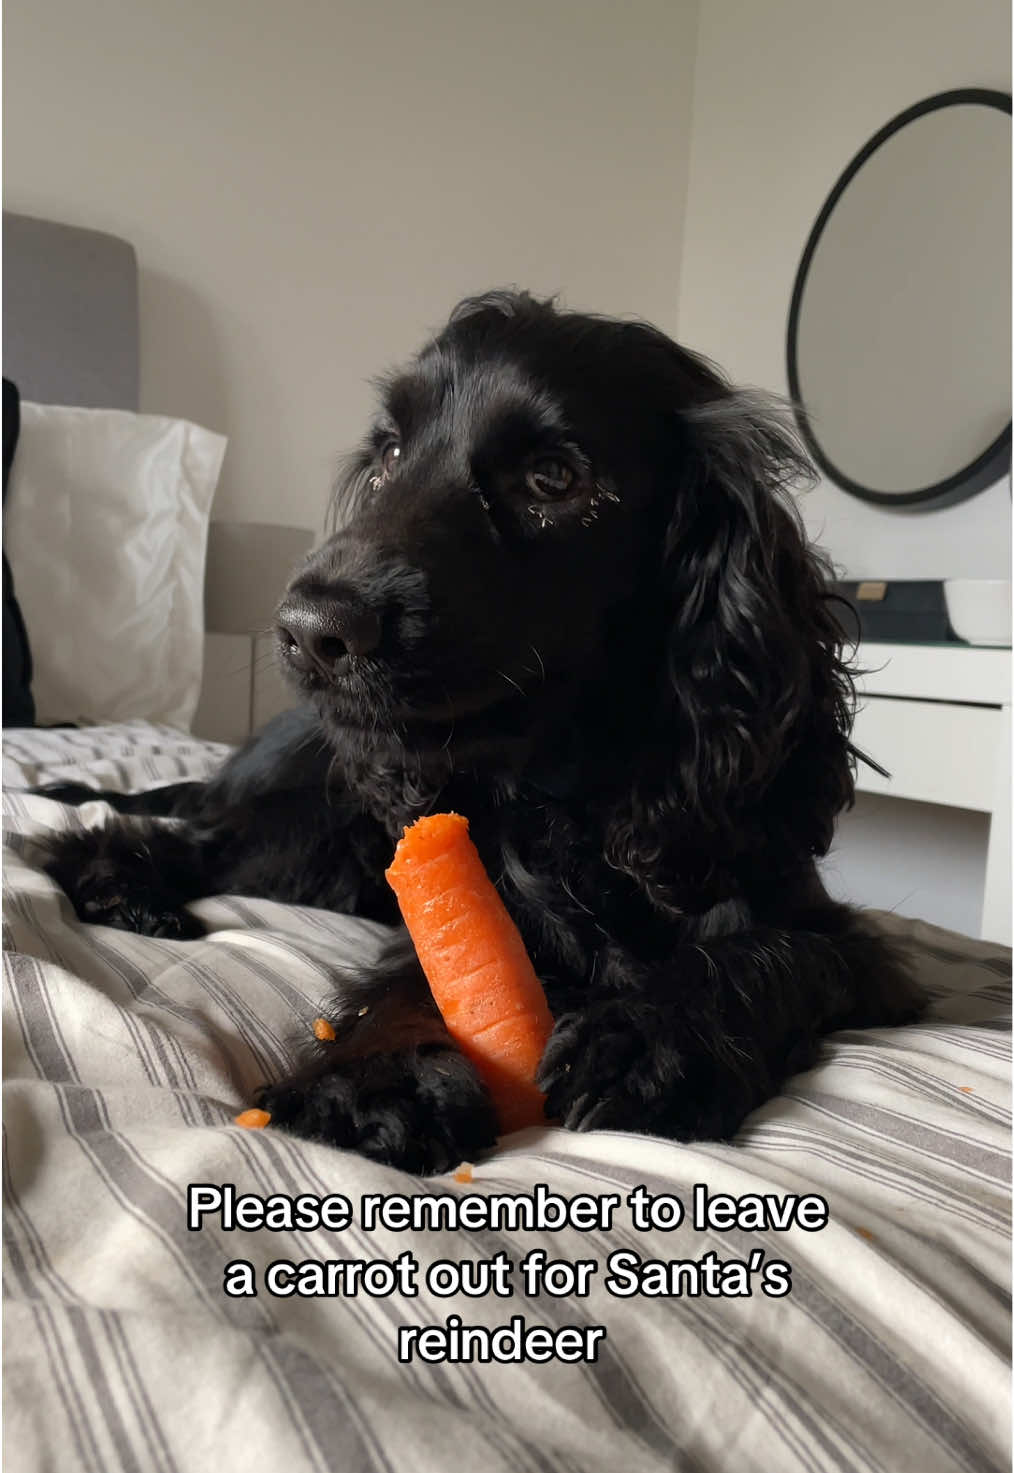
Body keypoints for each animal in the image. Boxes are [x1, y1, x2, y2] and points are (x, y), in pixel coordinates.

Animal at [43, 290, 925, 1172]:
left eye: (553, 477)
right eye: (391, 452)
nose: (309, 629)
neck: (577, 803)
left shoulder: (837, 934)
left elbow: (773, 952)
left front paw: (656, 1037)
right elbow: (427, 975)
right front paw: (374, 1078)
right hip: (313, 836)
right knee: (146, 837)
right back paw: (124, 890)